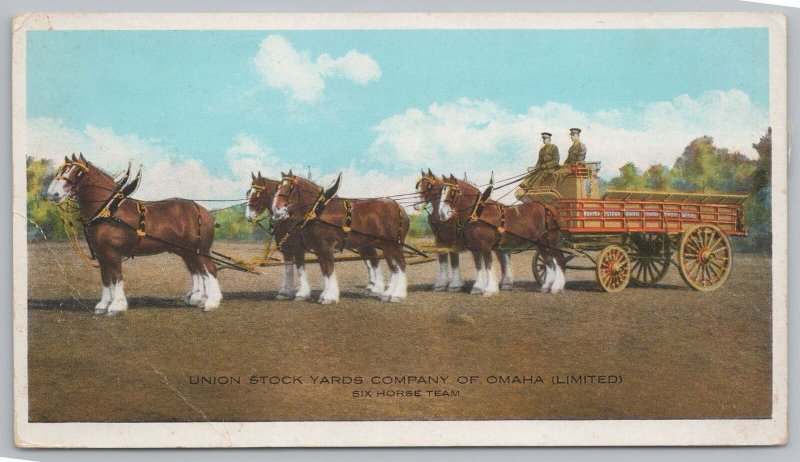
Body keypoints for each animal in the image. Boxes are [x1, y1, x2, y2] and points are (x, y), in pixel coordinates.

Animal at [47, 153, 222, 316]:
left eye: (77, 172)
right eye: (62, 170)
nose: (52, 194)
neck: (109, 211)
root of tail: (203, 210)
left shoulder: (113, 254)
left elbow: (117, 278)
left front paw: (117, 306)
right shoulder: (102, 254)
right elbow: (106, 279)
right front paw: (103, 305)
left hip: (200, 251)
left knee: (210, 270)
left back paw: (211, 302)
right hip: (188, 252)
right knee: (199, 271)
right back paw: (198, 298)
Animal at [274, 171, 412, 304]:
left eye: (289, 187)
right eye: (278, 186)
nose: (276, 209)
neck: (318, 211)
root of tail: (400, 208)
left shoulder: (326, 247)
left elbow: (329, 270)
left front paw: (329, 297)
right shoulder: (319, 249)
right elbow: (324, 271)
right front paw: (324, 294)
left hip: (394, 245)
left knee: (401, 265)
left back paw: (397, 295)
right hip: (386, 246)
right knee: (393, 267)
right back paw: (387, 294)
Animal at [434, 175, 564, 294]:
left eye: (452, 192)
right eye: (441, 191)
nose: (442, 213)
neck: (479, 213)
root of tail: (548, 207)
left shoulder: (485, 246)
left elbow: (488, 265)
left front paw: (490, 289)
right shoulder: (475, 248)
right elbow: (479, 265)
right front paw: (478, 288)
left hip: (550, 241)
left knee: (558, 259)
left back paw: (557, 287)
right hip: (541, 243)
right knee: (548, 261)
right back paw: (546, 287)